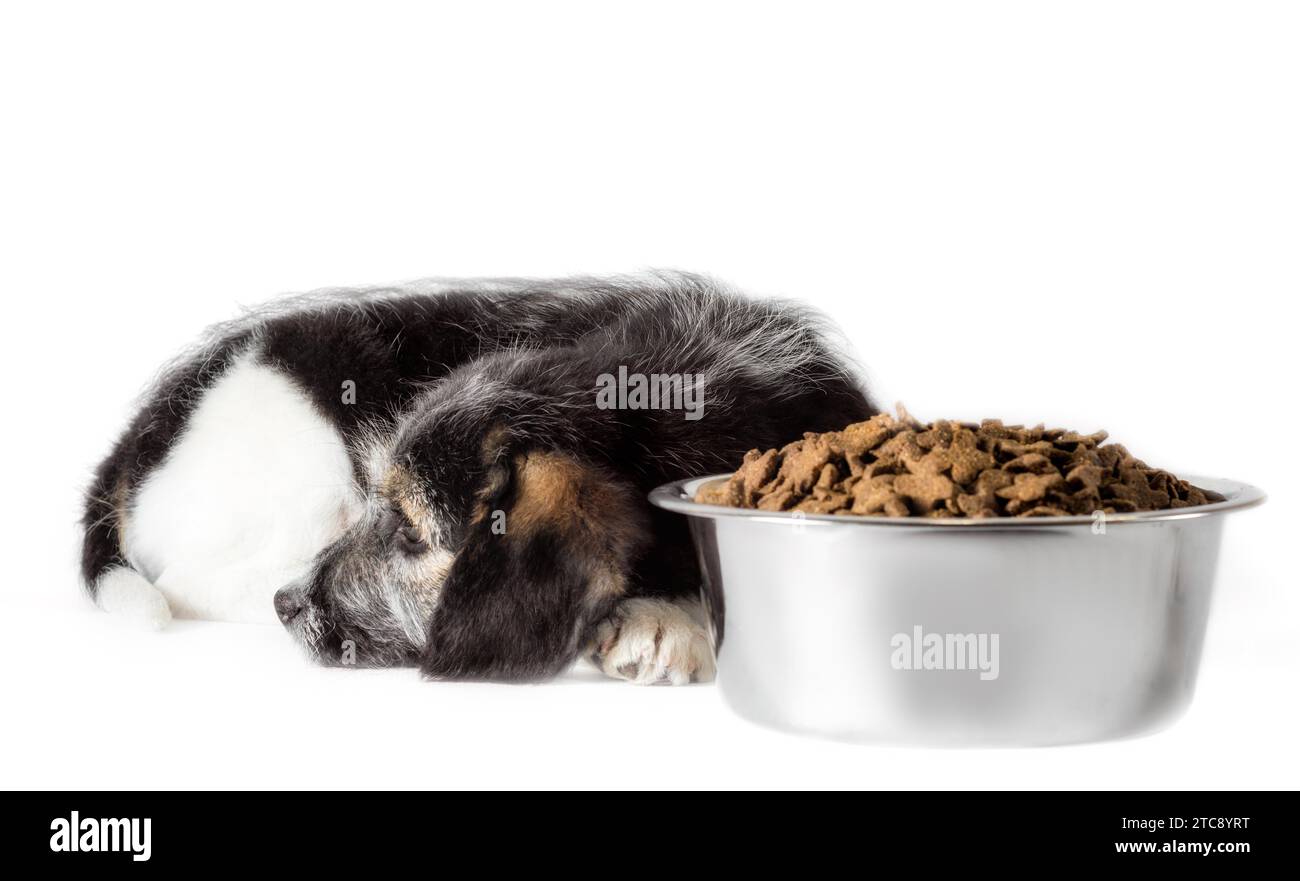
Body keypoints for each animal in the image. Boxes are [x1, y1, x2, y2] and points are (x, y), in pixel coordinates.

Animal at [81, 272, 873, 686]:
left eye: (408, 531)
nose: (290, 602)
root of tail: (143, 428)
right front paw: (663, 621)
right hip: (302, 476)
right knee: (187, 580)